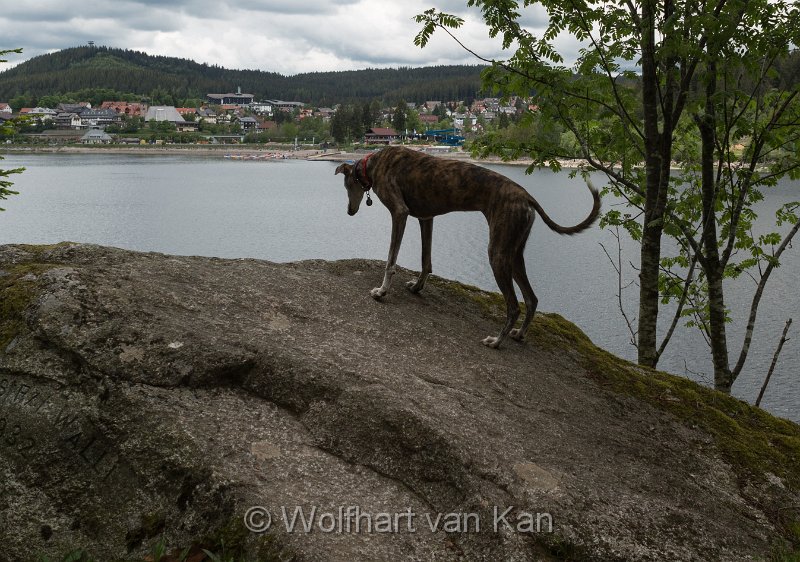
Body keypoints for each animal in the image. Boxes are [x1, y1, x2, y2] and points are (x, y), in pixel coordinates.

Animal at [332, 145, 600, 346]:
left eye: (346, 186)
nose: (349, 211)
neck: (373, 163)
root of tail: (526, 195)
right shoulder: (426, 218)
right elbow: (426, 261)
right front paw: (417, 287)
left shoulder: (400, 213)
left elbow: (391, 260)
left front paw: (381, 291)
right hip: (514, 252)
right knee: (532, 299)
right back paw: (519, 335)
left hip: (497, 253)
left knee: (514, 306)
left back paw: (496, 341)